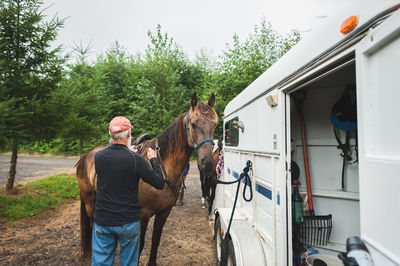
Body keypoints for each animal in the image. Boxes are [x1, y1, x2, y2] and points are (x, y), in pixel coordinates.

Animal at [75, 92, 219, 264]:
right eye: (193, 123)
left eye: (214, 125)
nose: (207, 162)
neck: (161, 168)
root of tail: (86, 156)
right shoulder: (143, 214)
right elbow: (141, 244)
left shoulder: (164, 212)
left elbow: (156, 240)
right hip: (89, 201)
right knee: (92, 224)